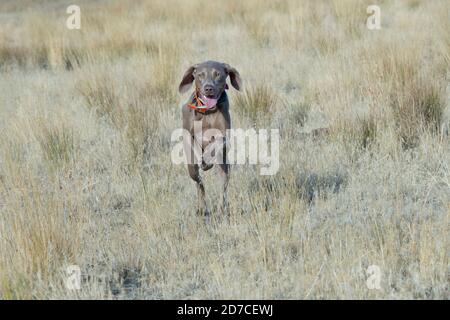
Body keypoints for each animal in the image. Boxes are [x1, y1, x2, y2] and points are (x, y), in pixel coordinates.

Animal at [179, 60, 243, 215]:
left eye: (218, 74)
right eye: (200, 75)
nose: (208, 88)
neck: (207, 111)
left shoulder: (224, 135)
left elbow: (217, 141)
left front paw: (207, 158)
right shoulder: (187, 132)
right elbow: (193, 154)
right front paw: (200, 160)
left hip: (224, 167)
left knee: (222, 186)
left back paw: (221, 208)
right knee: (199, 184)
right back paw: (201, 207)